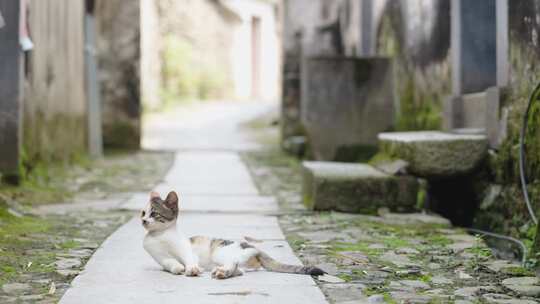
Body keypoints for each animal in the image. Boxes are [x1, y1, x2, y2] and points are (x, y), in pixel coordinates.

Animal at [141, 191, 322, 280]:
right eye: (143, 213)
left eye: (154, 213)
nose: (143, 220)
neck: (160, 235)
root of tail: (252, 246)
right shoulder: (161, 258)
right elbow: (169, 262)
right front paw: (178, 268)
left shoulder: (186, 250)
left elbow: (189, 259)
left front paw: (191, 268)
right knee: (239, 270)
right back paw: (223, 273)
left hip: (221, 252)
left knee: (233, 262)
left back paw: (222, 272)